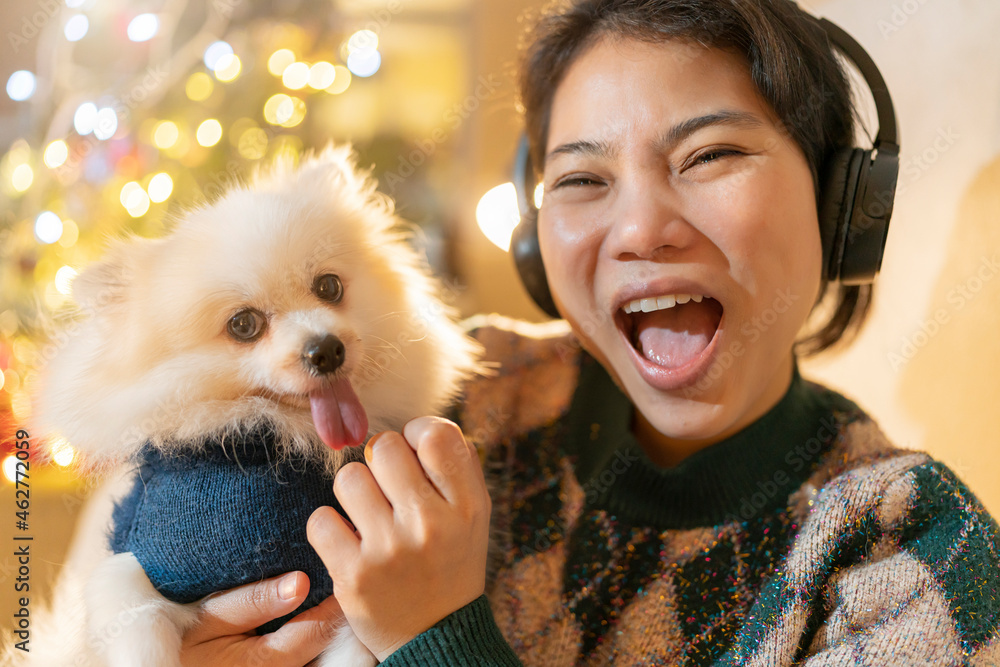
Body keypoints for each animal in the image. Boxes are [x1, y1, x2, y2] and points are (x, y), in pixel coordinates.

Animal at [29, 147, 482, 667]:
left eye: (329, 287)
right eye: (243, 325)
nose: (325, 349)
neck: (270, 443)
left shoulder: (339, 602)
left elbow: (353, 650)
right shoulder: (136, 556)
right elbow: (132, 607)